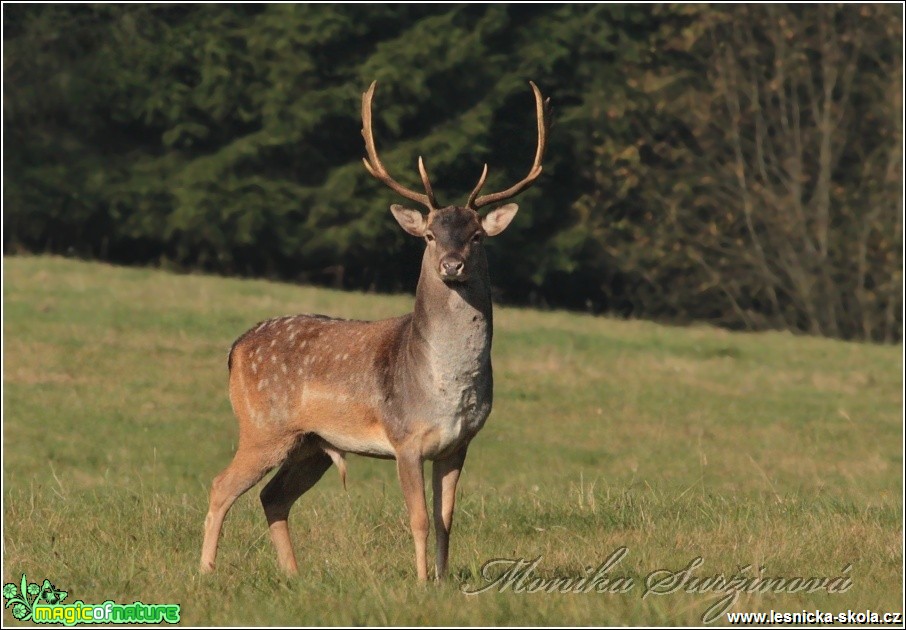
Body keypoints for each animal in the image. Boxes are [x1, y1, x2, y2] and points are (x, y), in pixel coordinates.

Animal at [200, 79, 548, 584]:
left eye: (477, 236)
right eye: (429, 235)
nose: (452, 265)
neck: (441, 386)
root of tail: (235, 348)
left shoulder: (458, 444)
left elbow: (446, 518)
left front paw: (443, 579)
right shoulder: (405, 438)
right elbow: (418, 517)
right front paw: (421, 582)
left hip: (310, 444)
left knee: (273, 496)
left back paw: (294, 575)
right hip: (263, 427)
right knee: (221, 485)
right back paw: (205, 571)